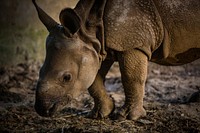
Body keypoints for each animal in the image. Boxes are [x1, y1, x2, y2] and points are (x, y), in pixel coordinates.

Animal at [32, 0, 200, 120]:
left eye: (67, 78)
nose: (42, 110)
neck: (88, 28)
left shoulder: (132, 43)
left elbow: (131, 78)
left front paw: (127, 116)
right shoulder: (98, 46)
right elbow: (94, 79)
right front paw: (101, 113)